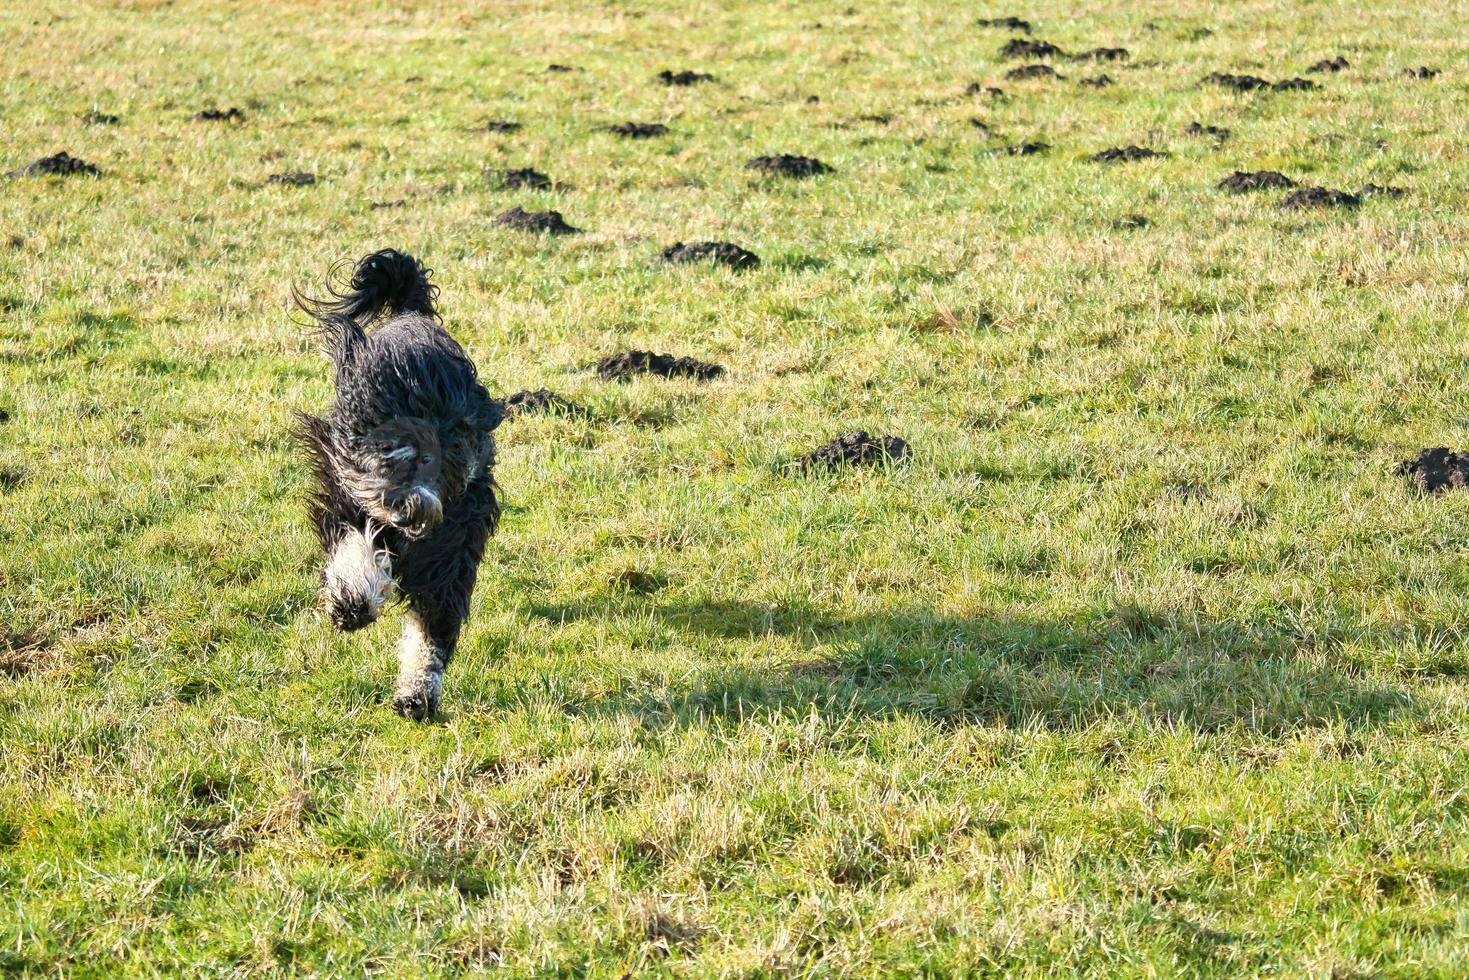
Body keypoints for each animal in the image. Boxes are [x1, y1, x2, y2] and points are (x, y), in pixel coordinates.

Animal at [296, 249, 505, 717]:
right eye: (391, 449)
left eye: (438, 459)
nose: (408, 509)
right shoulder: (347, 499)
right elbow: (358, 548)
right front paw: (351, 603)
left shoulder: (453, 550)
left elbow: (432, 626)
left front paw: (417, 693)